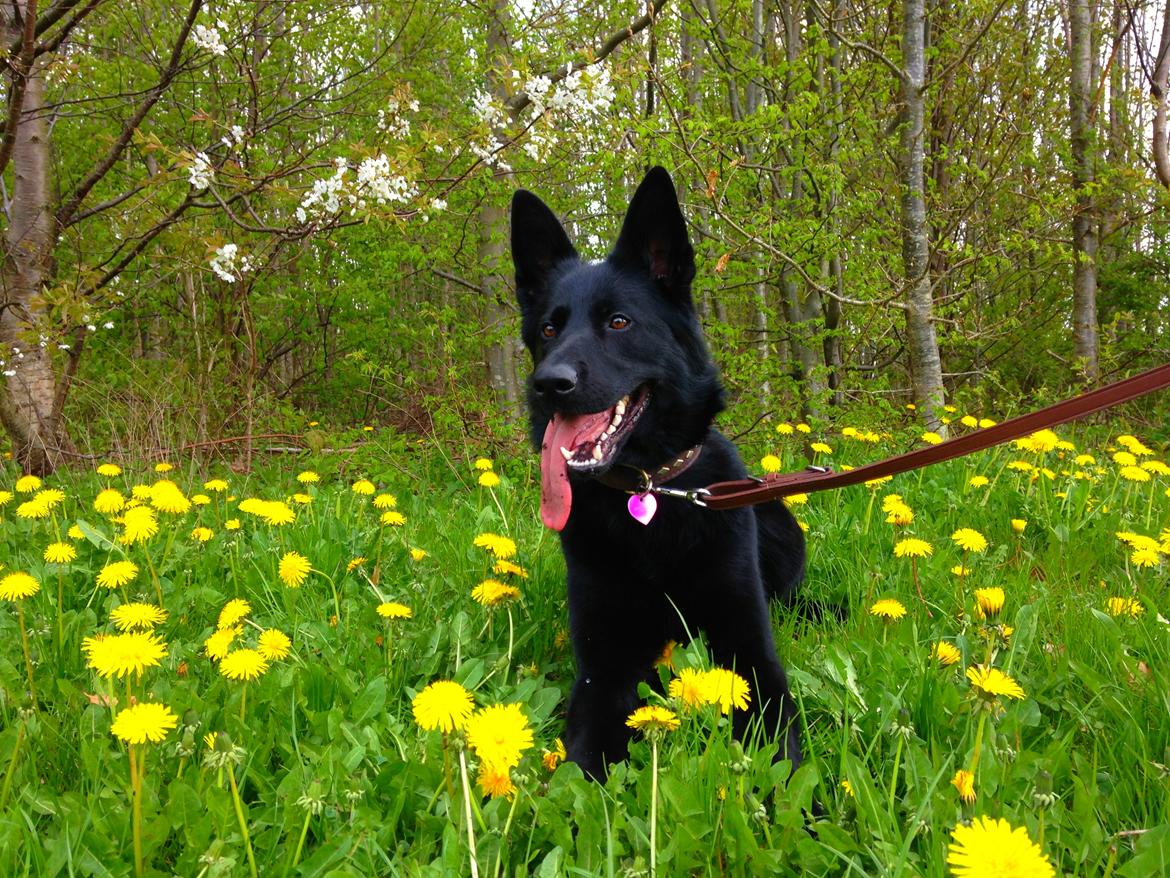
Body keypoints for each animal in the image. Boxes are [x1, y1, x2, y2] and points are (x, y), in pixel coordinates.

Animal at [512, 165, 804, 777]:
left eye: (619, 322)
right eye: (548, 330)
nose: (548, 384)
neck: (649, 494)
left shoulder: (748, 647)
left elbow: (781, 747)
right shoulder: (605, 666)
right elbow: (585, 757)